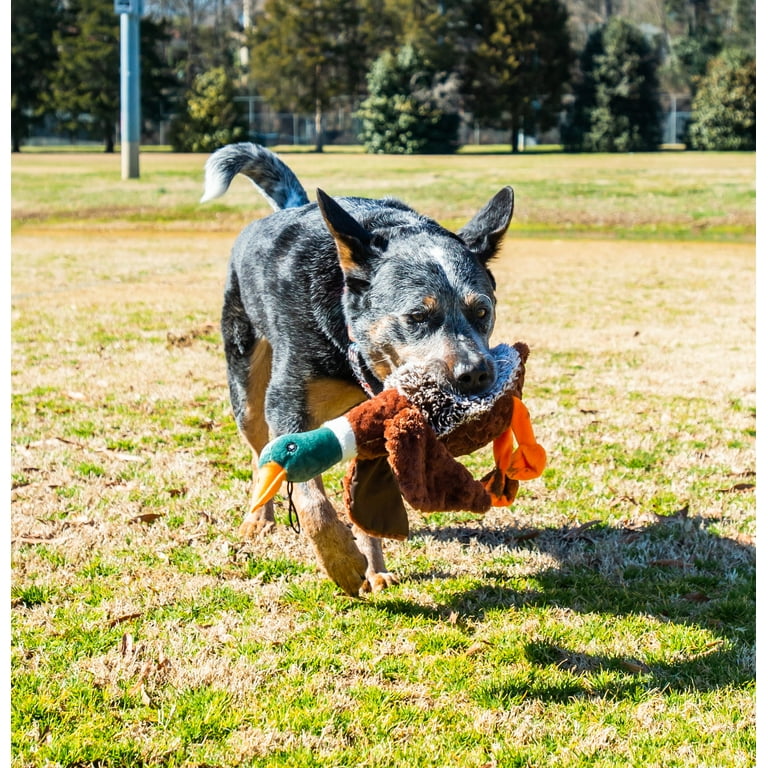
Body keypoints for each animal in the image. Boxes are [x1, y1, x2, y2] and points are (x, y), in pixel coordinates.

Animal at [202, 144, 516, 596]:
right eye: (418, 316)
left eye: (482, 312)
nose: (475, 374)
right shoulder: (288, 404)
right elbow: (310, 496)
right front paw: (342, 563)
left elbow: (363, 497)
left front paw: (373, 566)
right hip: (244, 379)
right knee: (261, 453)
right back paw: (258, 518)